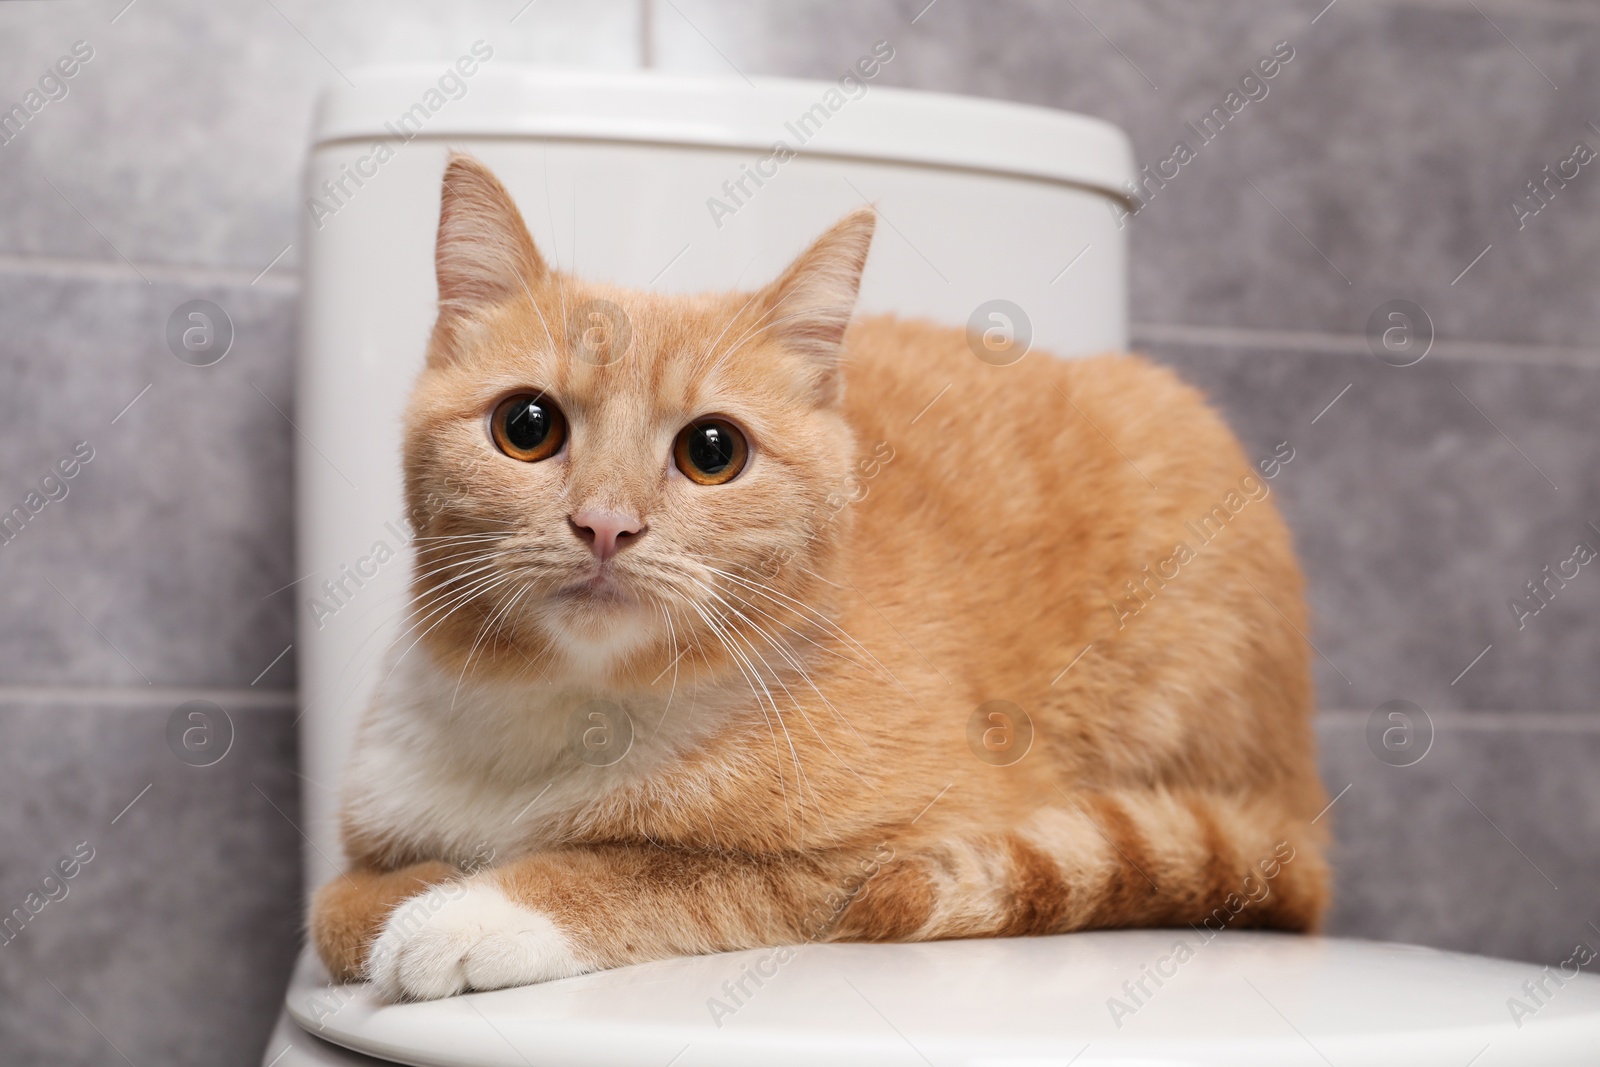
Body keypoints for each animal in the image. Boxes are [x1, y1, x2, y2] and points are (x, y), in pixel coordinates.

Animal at [308, 156, 1324, 1004]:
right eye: (526, 426)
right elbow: (335, 909)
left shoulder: (905, 844)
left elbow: (650, 865)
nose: (605, 523)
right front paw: (426, 884)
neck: (571, 707)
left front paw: (475, 907)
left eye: (713, 451)